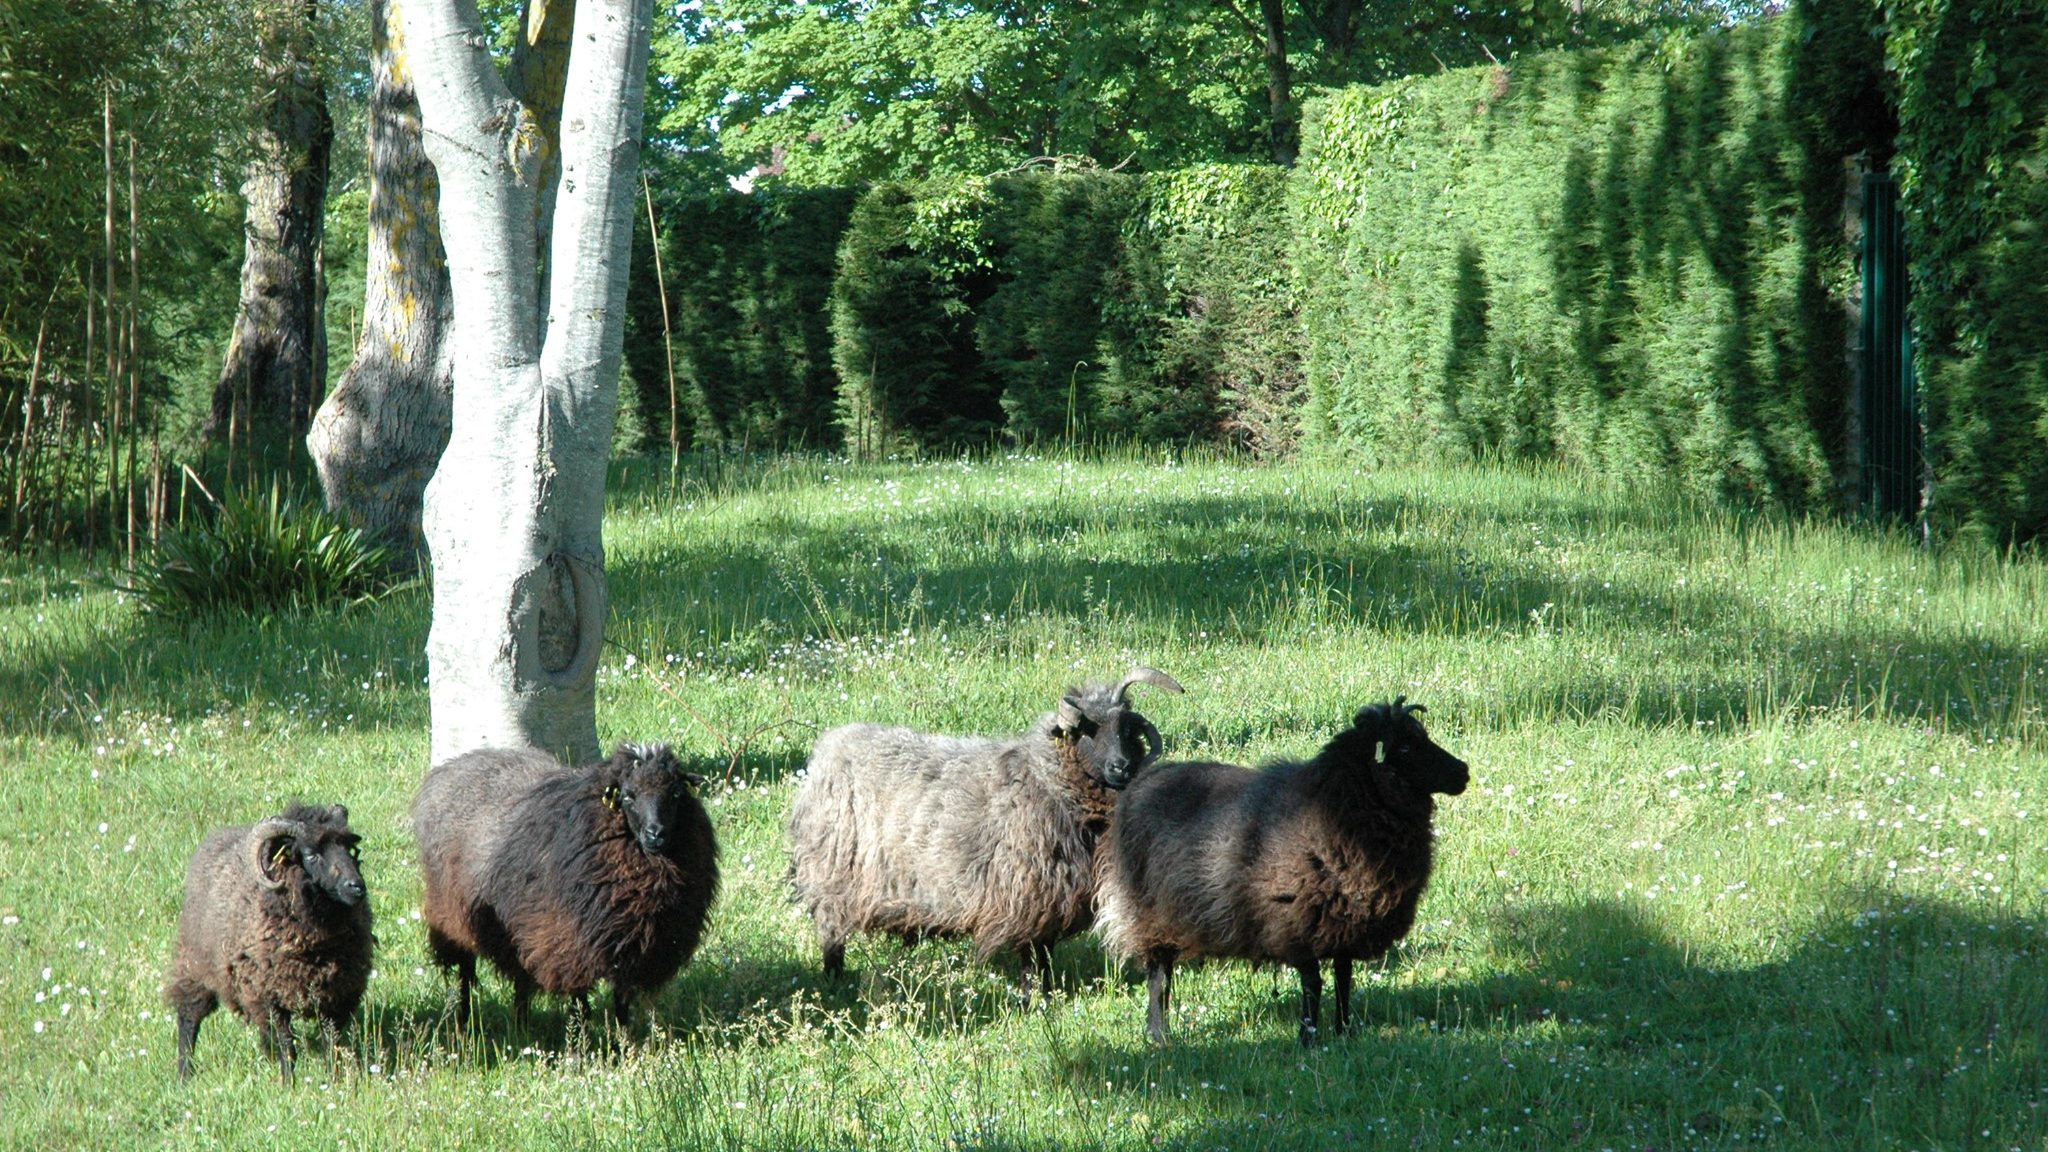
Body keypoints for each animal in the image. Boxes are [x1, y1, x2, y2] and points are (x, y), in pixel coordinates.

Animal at [162, 799, 372, 1074]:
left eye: (348, 848)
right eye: (311, 855)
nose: (356, 887)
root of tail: (217, 836)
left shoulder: (337, 996)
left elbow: (331, 1046)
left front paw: (333, 1079)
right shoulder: (269, 998)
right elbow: (287, 1048)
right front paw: (289, 1082)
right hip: (195, 962)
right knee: (189, 1017)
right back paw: (185, 1074)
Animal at [407, 737, 720, 1024]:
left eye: (676, 794)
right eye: (628, 796)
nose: (656, 834)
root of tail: (452, 766)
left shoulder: (630, 944)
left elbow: (621, 1002)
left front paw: (625, 1040)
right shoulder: (567, 941)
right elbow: (580, 1001)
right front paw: (584, 1040)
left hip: (519, 927)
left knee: (520, 976)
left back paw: (521, 1025)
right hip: (454, 913)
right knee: (465, 969)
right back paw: (465, 1020)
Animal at [782, 664, 1187, 996]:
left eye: (1126, 728)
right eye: (1087, 730)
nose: (1121, 767)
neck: (1047, 781)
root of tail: (827, 750)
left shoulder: (1051, 898)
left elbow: (1044, 952)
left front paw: (1047, 994)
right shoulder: (1025, 893)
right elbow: (1030, 953)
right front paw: (1032, 1000)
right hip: (832, 875)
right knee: (831, 935)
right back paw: (835, 981)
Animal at [1097, 696, 1466, 1045]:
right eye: (1404, 747)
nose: (1463, 772)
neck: (1333, 813)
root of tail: (1143, 781)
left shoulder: (1344, 923)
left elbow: (1344, 979)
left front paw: (1344, 1032)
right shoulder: (1294, 922)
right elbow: (1313, 982)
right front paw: (1309, 1038)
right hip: (1150, 915)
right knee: (1159, 976)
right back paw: (1161, 1035)